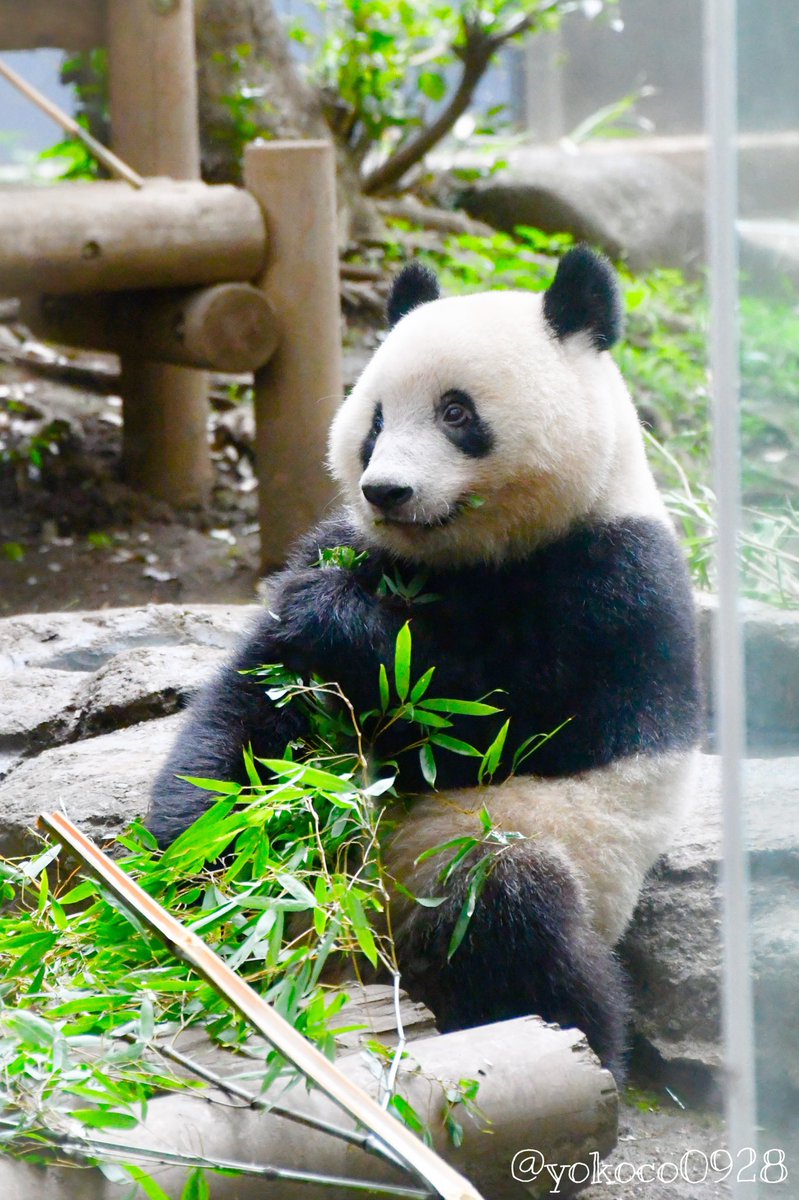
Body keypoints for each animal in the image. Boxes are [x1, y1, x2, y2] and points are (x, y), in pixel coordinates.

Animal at [147, 246, 695, 1080]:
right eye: (373, 420)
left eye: (456, 413)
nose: (386, 491)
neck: (454, 559)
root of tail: (370, 943)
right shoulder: (344, 544)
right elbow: (253, 718)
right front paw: (196, 860)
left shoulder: (617, 584)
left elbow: (499, 720)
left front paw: (338, 618)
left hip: (525, 854)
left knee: (510, 914)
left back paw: (581, 1041)